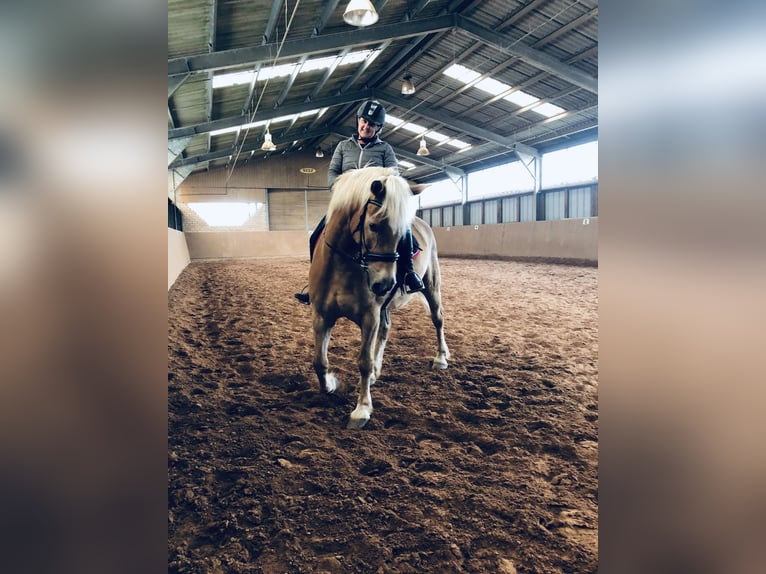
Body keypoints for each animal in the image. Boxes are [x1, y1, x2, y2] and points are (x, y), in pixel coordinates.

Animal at [308, 165, 450, 428]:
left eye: (401, 233)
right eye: (373, 226)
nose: (384, 284)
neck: (344, 265)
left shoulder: (369, 317)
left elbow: (362, 362)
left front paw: (362, 409)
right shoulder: (321, 316)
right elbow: (319, 361)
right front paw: (330, 384)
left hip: (431, 286)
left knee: (438, 319)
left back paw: (441, 358)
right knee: (386, 329)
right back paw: (377, 369)